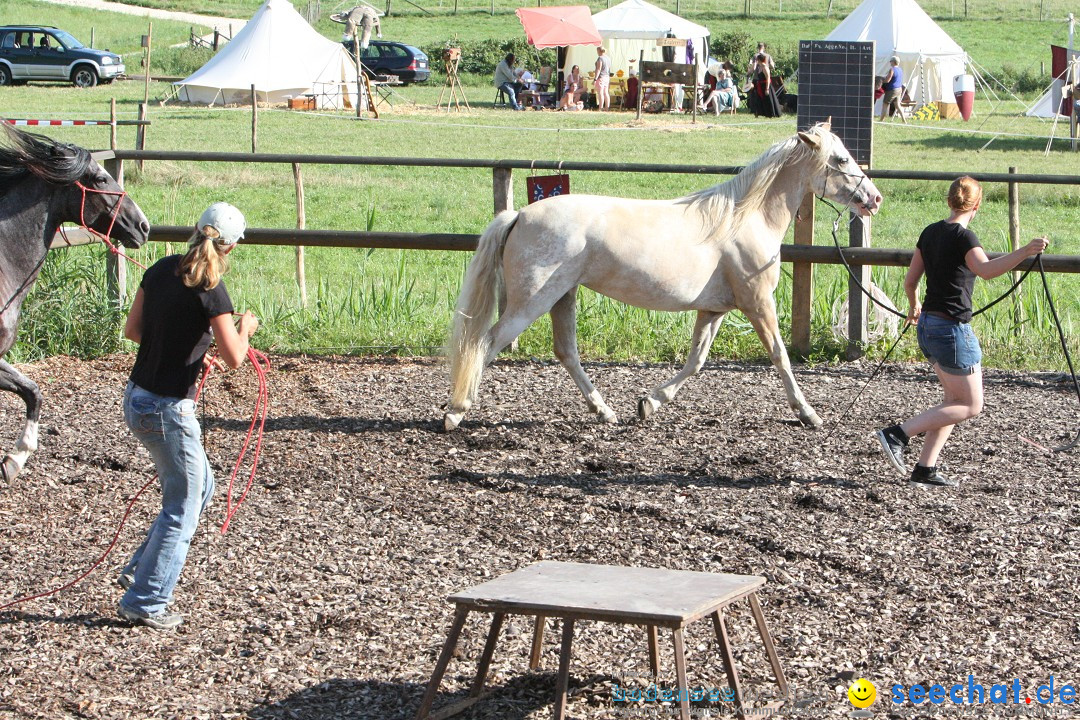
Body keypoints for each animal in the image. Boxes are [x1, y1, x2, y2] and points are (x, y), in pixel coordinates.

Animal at [442, 120, 881, 431]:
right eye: (841, 159)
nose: (874, 199)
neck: (745, 218)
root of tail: (518, 215)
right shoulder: (758, 302)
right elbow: (780, 356)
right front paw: (809, 414)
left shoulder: (714, 310)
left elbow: (695, 362)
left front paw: (648, 404)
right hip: (531, 302)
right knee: (486, 343)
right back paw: (456, 412)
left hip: (561, 297)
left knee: (565, 352)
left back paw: (605, 411)